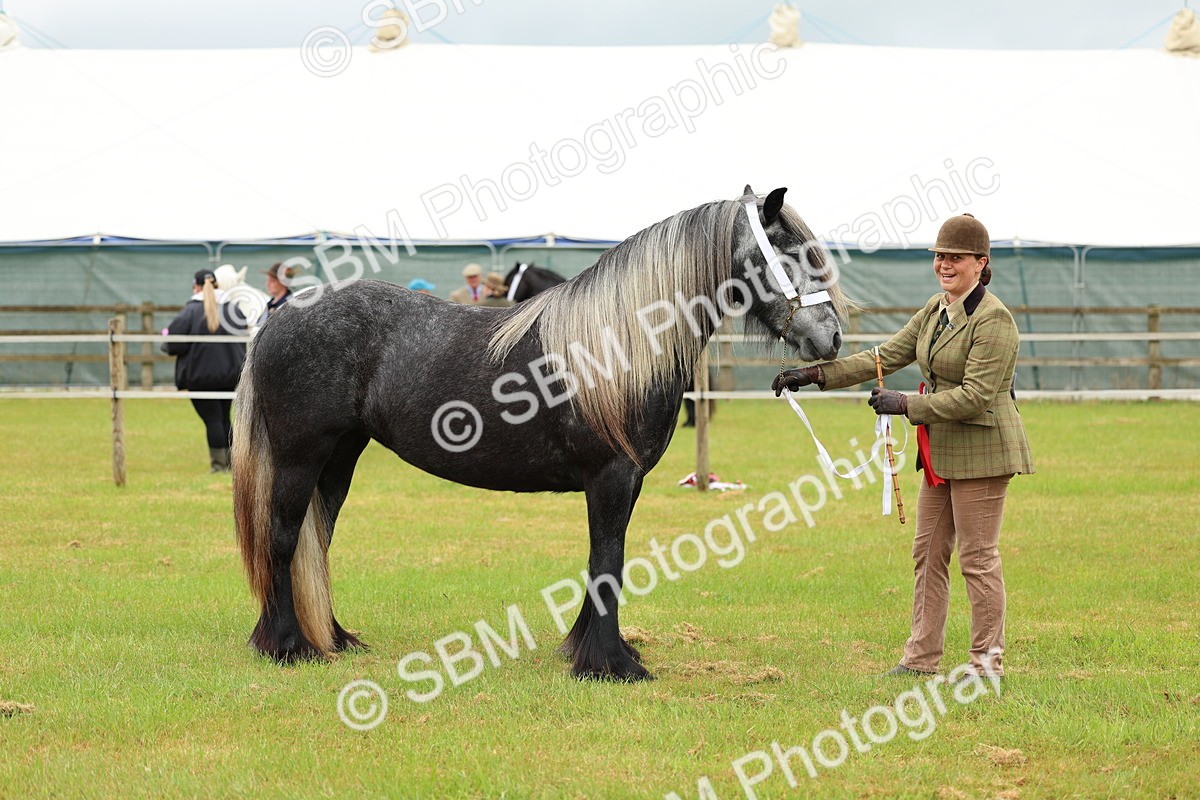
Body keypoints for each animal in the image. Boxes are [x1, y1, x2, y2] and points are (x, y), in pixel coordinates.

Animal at [232, 186, 847, 681]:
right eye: (789, 253)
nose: (832, 339)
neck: (616, 344)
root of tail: (283, 315)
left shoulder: (626, 482)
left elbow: (603, 562)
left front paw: (590, 650)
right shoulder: (611, 477)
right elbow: (609, 561)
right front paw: (610, 666)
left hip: (339, 458)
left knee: (317, 540)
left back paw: (332, 638)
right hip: (300, 457)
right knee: (283, 538)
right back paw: (287, 646)